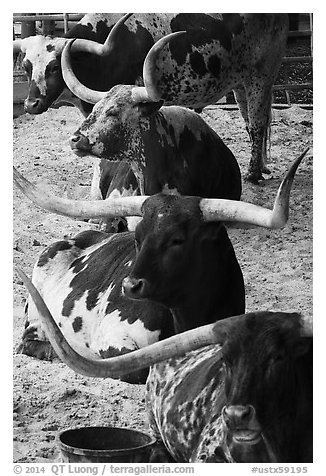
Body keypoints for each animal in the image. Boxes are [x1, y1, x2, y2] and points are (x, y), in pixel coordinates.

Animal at [14, 151, 306, 384]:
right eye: (137, 238)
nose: (130, 285)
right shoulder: (113, 341)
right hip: (36, 318)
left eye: (177, 239)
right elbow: (139, 370)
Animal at [59, 12, 290, 182]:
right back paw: (262, 166)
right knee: (251, 122)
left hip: (260, 77)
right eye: (96, 108)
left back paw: (253, 173)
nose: (75, 138)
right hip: (241, 85)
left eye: (113, 112)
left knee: (257, 124)